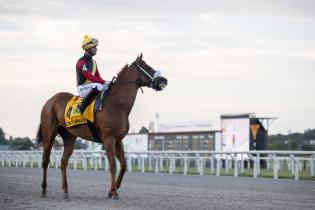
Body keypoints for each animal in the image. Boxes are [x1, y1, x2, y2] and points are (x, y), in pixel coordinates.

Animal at [35, 53, 168, 199]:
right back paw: (43, 189)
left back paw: (65, 191)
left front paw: (113, 189)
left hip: (69, 136)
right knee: (45, 160)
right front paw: (114, 192)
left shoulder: (118, 139)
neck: (117, 105)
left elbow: (123, 165)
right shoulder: (108, 138)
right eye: (147, 66)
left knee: (63, 161)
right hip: (49, 134)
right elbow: (113, 165)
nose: (164, 80)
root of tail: (49, 101)